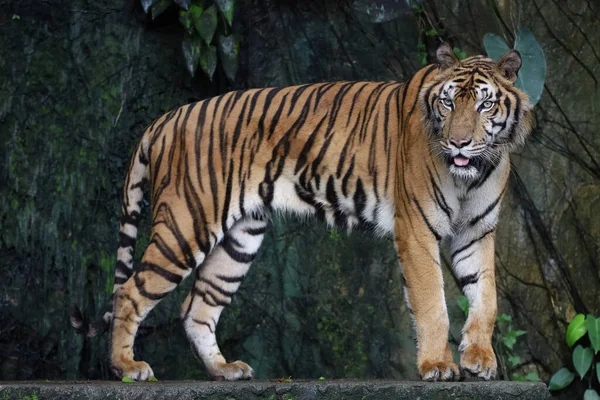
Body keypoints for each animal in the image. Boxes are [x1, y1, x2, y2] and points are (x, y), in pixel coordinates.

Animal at [71, 43, 536, 382]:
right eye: (448, 104)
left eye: (484, 106)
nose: (458, 143)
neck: (472, 173)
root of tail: (167, 118)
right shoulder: (418, 231)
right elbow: (432, 302)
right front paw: (438, 365)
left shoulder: (476, 232)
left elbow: (486, 297)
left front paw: (480, 359)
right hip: (187, 224)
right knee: (130, 291)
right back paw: (127, 368)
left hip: (239, 240)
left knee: (197, 308)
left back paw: (224, 370)